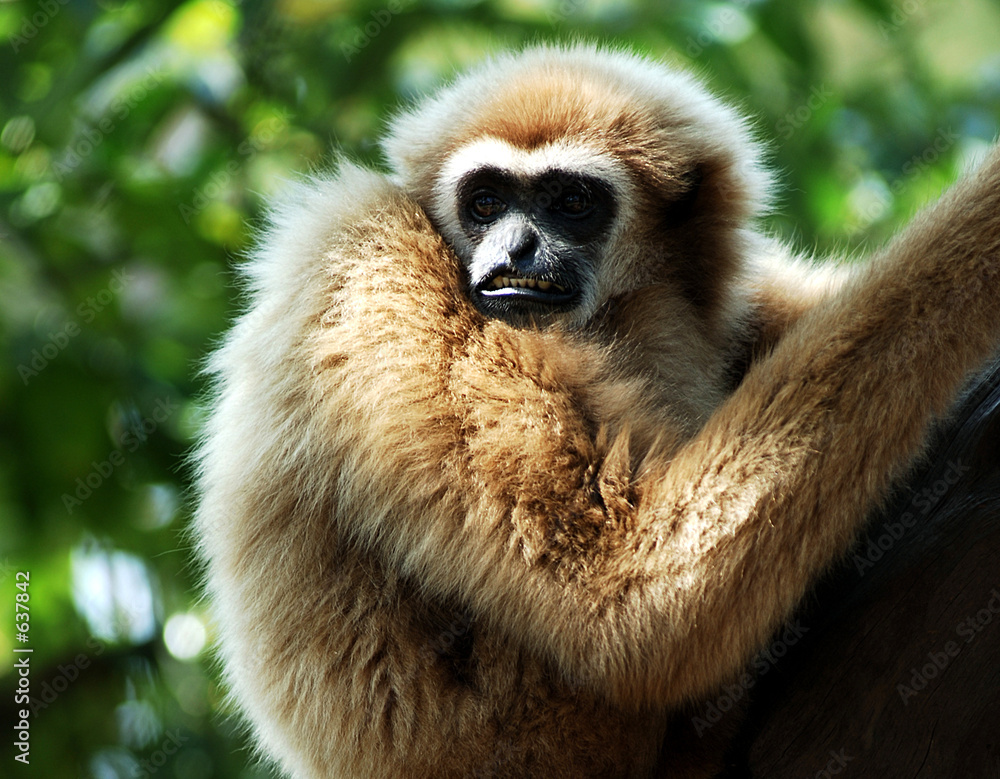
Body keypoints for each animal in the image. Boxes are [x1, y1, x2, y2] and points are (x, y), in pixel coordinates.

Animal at [193, 45, 1000, 778]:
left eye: (572, 203)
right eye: (485, 202)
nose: (517, 245)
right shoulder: (358, 250)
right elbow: (626, 594)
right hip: (532, 739)